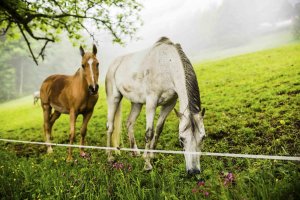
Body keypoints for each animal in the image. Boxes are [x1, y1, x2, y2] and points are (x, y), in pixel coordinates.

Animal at [105, 36, 206, 174]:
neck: (166, 66)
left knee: (129, 123)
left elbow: (158, 130)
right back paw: (109, 156)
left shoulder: (169, 104)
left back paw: (135, 152)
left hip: (136, 103)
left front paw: (151, 156)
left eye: (203, 138)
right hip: (113, 99)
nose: (194, 171)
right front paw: (147, 165)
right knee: (110, 127)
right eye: (181, 139)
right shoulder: (151, 102)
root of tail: (113, 65)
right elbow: (149, 133)